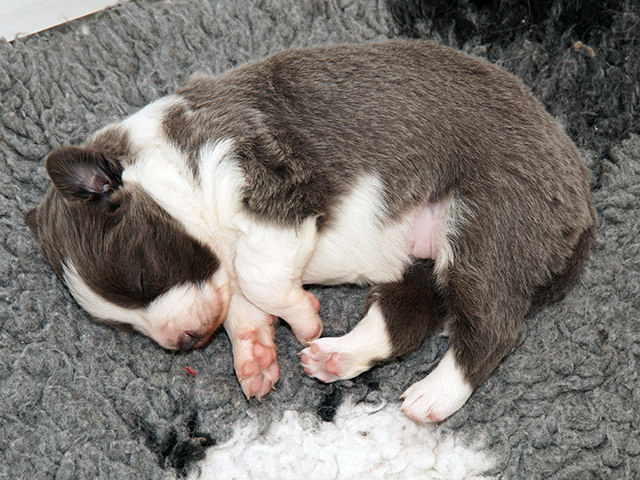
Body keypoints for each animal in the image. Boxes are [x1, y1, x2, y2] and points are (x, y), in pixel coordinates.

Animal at [26, 40, 596, 422]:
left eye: (144, 276)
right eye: (123, 326)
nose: (184, 343)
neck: (175, 164)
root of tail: (583, 201)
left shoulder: (276, 185)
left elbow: (258, 276)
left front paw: (302, 317)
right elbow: (240, 302)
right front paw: (255, 357)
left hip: (487, 222)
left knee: (491, 327)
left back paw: (431, 395)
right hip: (423, 257)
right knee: (407, 312)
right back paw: (338, 355)